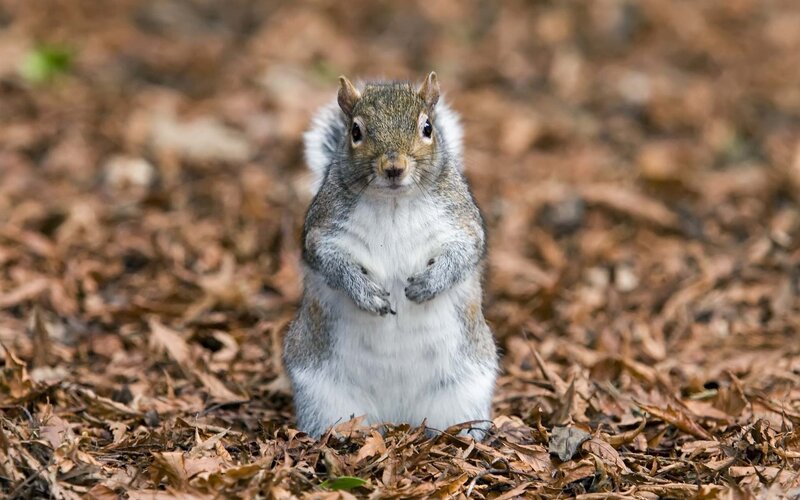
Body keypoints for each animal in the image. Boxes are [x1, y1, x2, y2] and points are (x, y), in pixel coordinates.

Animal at [283, 72, 498, 439]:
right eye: (355, 131)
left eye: (427, 127)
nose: (394, 167)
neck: (395, 203)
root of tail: (397, 414)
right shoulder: (321, 232)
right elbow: (330, 261)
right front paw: (364, 292)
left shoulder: (463, 225)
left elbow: (464, 252)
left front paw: (428, 284)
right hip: (324, 396)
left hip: (463, 392)